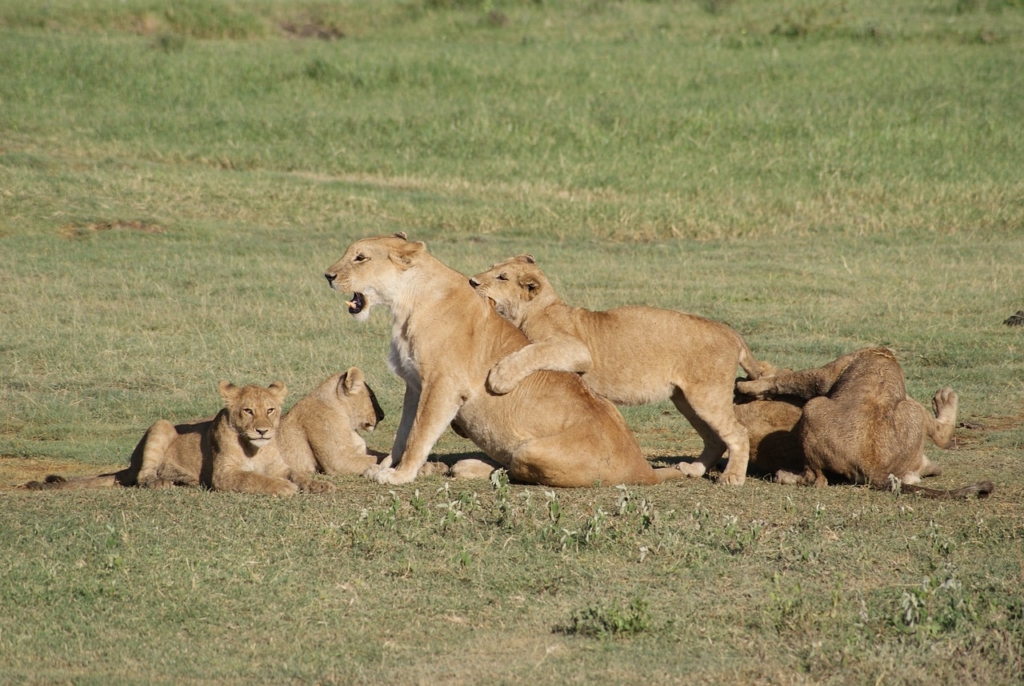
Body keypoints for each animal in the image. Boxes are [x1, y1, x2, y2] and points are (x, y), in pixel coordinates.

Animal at [323, 235, 684, 489]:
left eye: (360, 257)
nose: (327, 275)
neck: (405, 302)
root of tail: (644, 468)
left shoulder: (443, 384)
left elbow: (419, 434)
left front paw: (399, 476)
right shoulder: (414, 385)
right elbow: (403, 433)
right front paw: (385, 467)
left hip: (530, 450)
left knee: (516, 471)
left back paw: (470, 467)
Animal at [468, 254, 761, 487]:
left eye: (502, 277)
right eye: (491, 267)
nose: (472, 281)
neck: (538, 308)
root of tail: (731, 332)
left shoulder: (577, 350)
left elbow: (534, 351)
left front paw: (500, 378)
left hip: (706, 395)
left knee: (737, 433)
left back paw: (733, 478)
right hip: (685, 399)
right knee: (715, 438)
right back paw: (693, 470)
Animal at [737, 350, 991, 499]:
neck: (882, 354)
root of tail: (871, 462)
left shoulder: (826, 375)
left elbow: (787, 379)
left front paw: (745, 386)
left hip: (814, 408)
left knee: (816, 479)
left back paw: (784, 476)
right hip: (911, 409)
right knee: (936, 437)